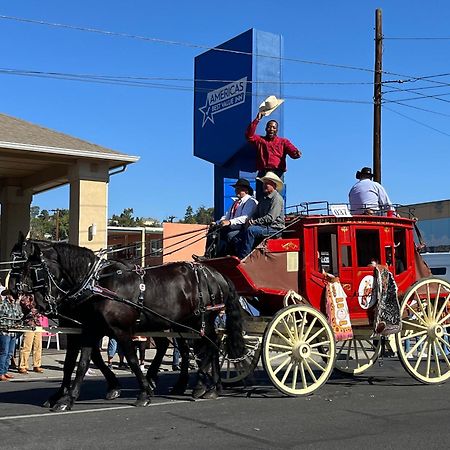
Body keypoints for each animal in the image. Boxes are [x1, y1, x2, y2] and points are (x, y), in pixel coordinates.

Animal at [9, 236, 243, 412]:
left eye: (32, 268)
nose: (13, 290)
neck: (98, 284)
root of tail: (216, 274)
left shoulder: (118, 330)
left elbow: (130, 359)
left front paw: (143, 393)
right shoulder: (87, 329)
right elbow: (80, 363)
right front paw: (66, 398)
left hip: (201, 319)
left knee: (210, 346)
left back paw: (204, 385)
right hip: (182, 323)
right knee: (198, 348)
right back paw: (204, 385)